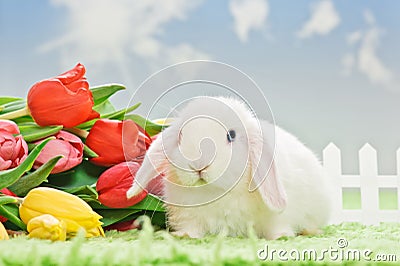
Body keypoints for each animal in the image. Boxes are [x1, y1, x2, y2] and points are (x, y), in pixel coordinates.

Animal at [127, 95, 332, 239]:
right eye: (181, 136)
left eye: (231, 135)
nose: (198, 165)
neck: (216, 191)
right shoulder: (188, 215)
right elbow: (191, 228)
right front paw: (183, 235)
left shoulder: (277, 217)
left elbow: (277, 225)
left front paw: (281, 237)